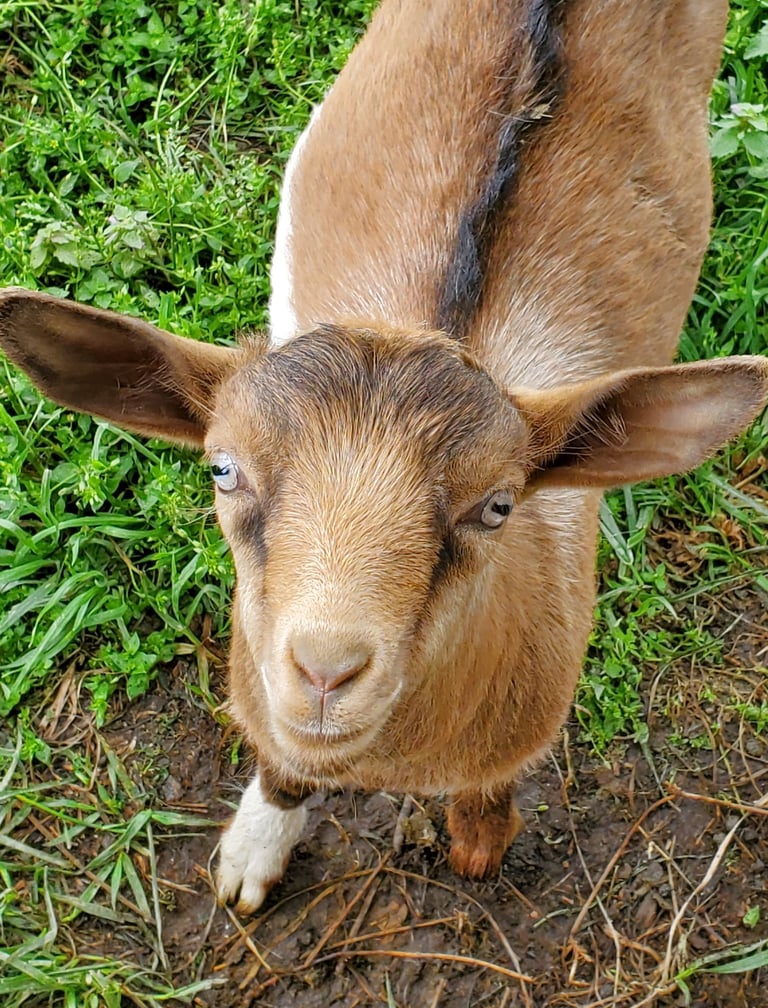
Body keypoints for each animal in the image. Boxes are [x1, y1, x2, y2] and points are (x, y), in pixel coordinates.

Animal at [1, 0, 766, 915]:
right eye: (223, 468)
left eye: (498, 505)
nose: (325, 673)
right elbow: (282, 764)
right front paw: (253, 853)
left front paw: (479, 843)